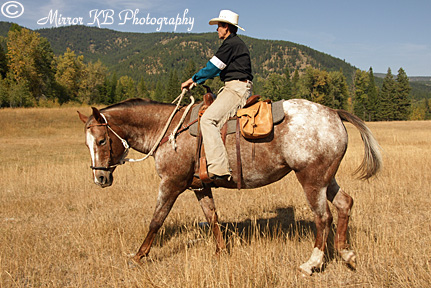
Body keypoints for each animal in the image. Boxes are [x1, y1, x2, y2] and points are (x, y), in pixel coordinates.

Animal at [77, 98, 382, 276]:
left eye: (102, 141)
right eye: (87, 143)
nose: (99, 179)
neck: (168, 130)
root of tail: (333, 112)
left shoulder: (171, 183)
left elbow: (156, 220)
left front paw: (138, 256)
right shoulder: (200, 187)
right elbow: (213, 218)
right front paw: (221, 252)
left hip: (311, 179)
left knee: (323, 217)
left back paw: (313, 263)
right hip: (327, 179)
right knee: (345, 204)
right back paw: (346, 254)